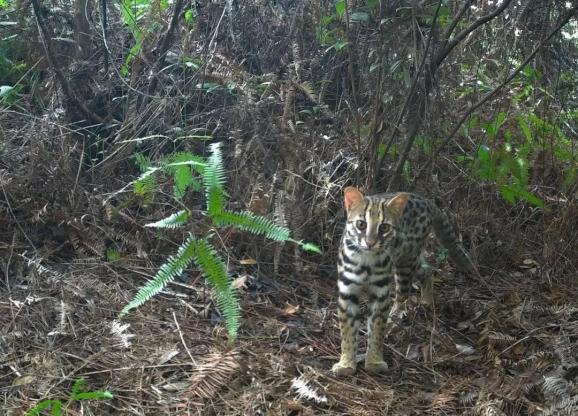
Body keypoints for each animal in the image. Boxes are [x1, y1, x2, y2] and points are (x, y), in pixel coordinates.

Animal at [330, 187, 474, 376]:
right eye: (361, 224)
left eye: (384, 227)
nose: (370, 242)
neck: (366, 259)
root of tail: (427, 201)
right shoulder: (347, 292)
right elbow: (347, 332)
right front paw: (346, 363)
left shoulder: (380, 293)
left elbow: (376, 329)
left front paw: (374, 361)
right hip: (409, 260)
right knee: (427, 269)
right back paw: (426, 300)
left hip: (405, 263)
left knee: (402, 295)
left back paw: (396, 318)